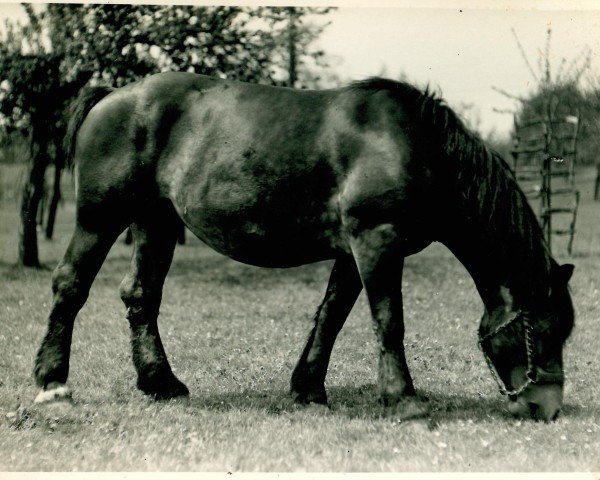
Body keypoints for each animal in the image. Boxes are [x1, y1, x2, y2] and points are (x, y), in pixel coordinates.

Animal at [34, 73, 576, 422]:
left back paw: (161, 383)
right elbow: (388, 321)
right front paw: (405, 401)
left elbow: (331, 316)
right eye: (544, 331)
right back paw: (52, 382)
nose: (547, 410)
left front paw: (309, 387)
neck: (415, 146)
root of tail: (113, 94)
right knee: (70, 286)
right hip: (99, 218)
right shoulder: (375, 242)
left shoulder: (352, 252)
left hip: (156, 222)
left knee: (141, 296)